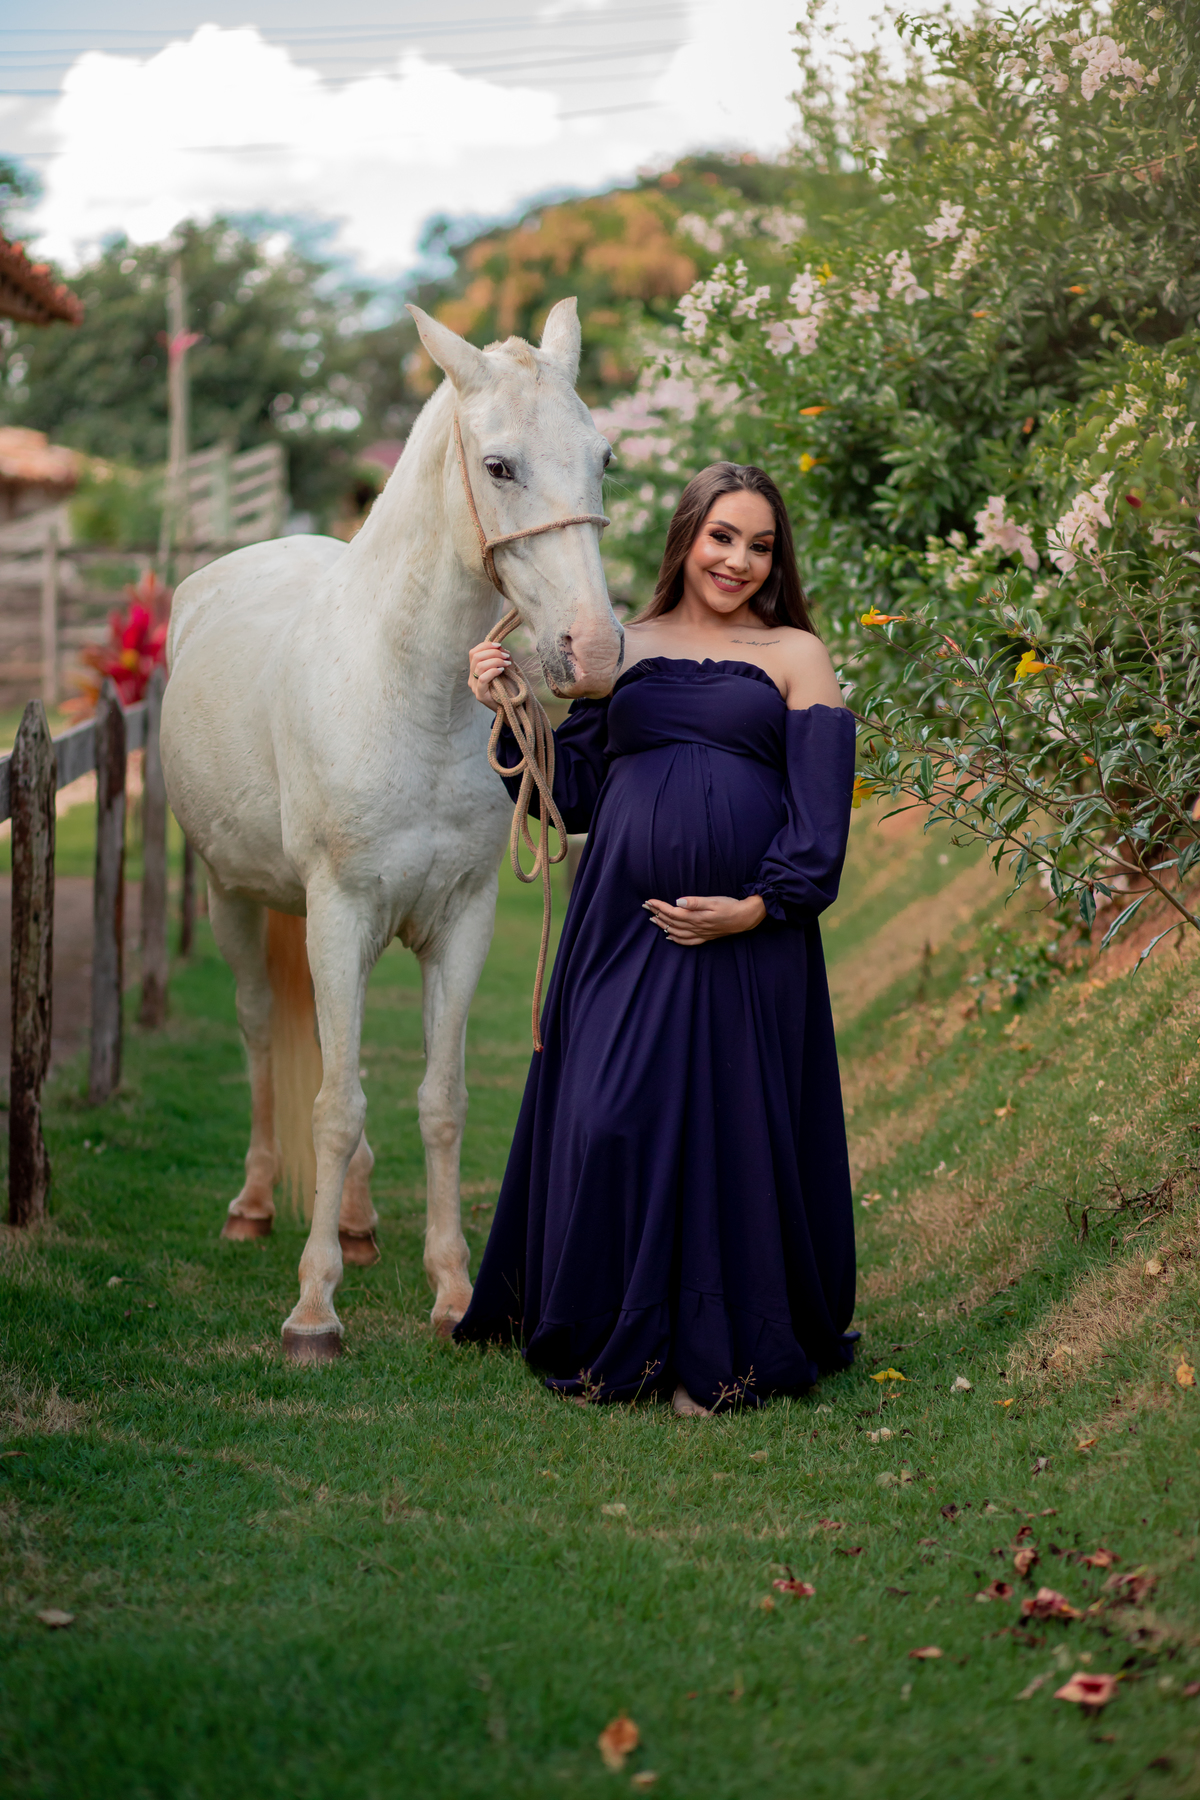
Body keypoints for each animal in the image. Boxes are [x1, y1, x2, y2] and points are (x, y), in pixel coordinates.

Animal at [161, 298, 623, 1361]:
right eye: (499, 465)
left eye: (605, 458)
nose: (593, 650)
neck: (406, 688)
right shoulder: (338, 912)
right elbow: (332, 1107)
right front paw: (313, 1309)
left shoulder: (460, 920)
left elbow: (438, 1103)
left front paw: (452, 1292)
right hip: (236, 899)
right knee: (264, 1034)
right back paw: (256, 1206)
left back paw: (361, 1223)